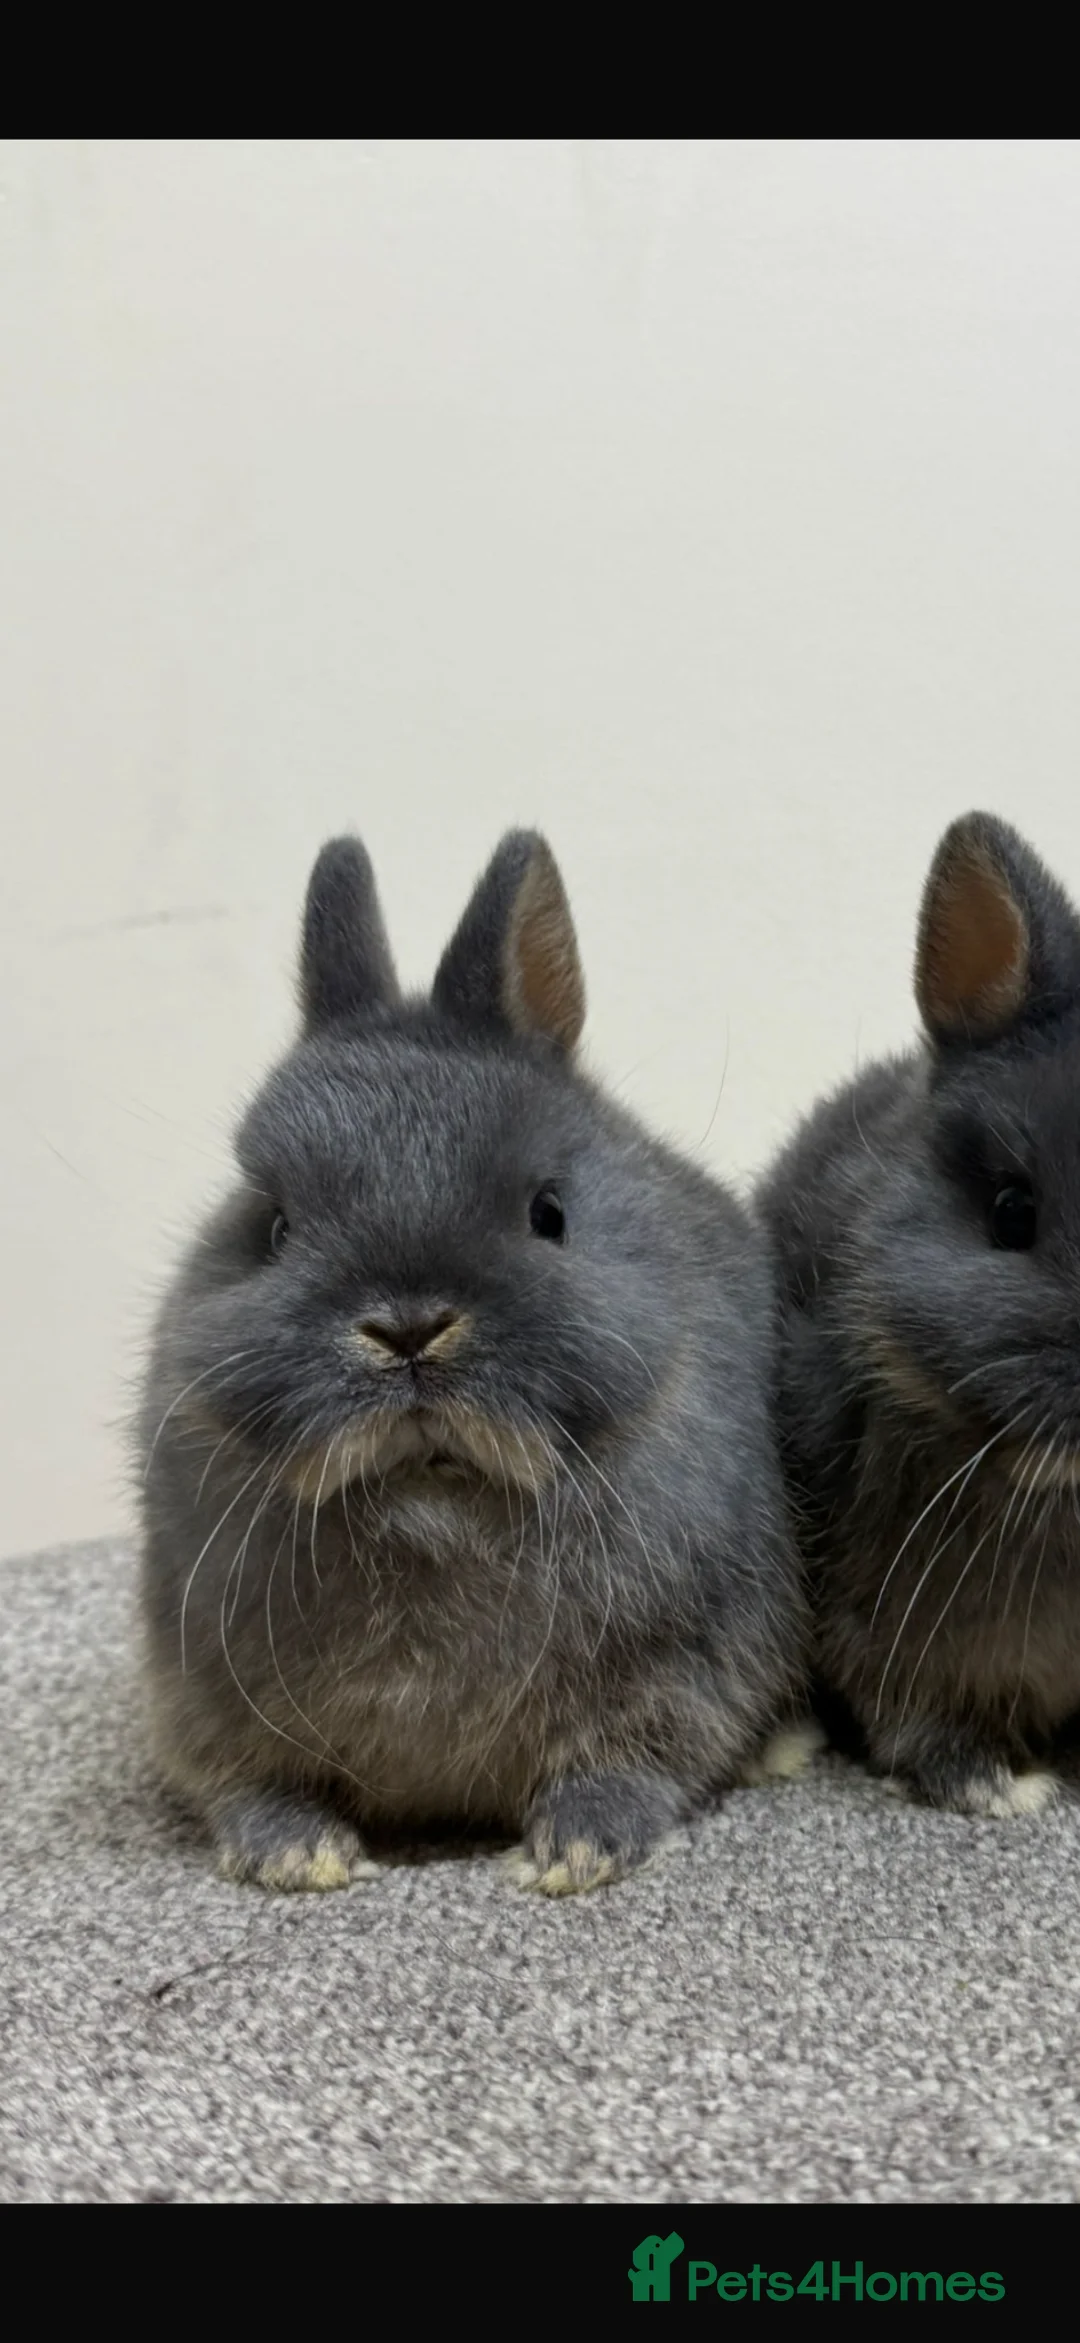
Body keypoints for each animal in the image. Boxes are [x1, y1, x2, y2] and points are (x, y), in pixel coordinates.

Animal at [136, 828, 808, 1894]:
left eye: (550, 1213)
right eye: (273, 1226)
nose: (409, 1329)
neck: (433, 1505)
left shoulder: (691, 1666)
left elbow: (638, 1759)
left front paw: (579, 1847)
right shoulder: (198, 1690)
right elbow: (243, 1781)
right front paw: (296, 1853)